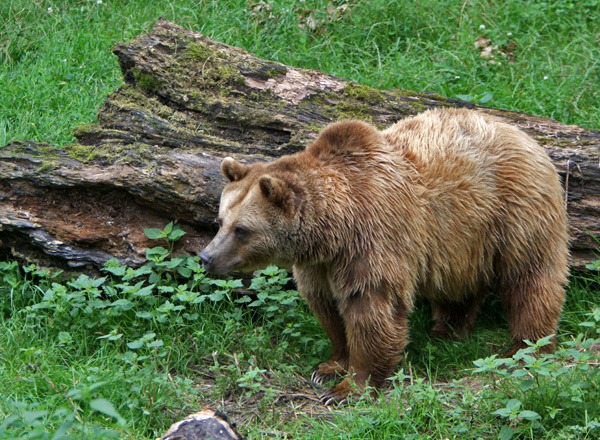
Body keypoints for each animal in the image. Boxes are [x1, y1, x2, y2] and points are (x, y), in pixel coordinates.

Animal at [199, 108, 568, 404]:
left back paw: (526, 347)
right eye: (220, 220)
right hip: (462, 238)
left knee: (530, 279)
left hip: (514, 212)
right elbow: (326, 306)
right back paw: (447, 329)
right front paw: (329, 366)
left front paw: (347, 388)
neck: (332, 230)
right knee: (459, 285)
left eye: (242, 229)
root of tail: (525, 134)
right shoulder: (320, 264)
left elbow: (371, 308)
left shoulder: (372, 238)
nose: (206, 257)